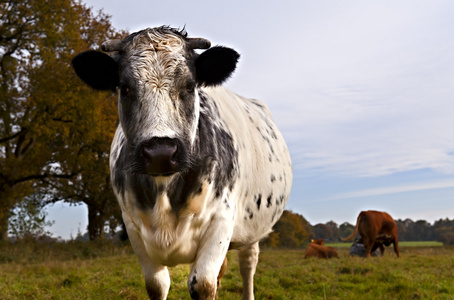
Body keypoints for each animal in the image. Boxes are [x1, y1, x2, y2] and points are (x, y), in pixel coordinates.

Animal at [71, 26, 290, 300]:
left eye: (189, 86)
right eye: (124, 88)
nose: (160, 152)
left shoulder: (221, 221)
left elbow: (203, 284)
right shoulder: (132, 226)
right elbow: (157, 284)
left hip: (251, 230)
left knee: (247, 265)